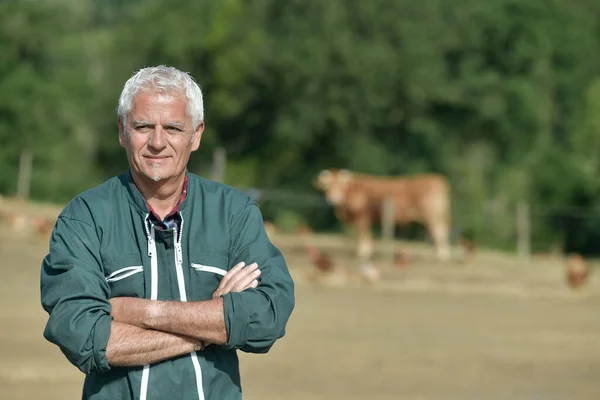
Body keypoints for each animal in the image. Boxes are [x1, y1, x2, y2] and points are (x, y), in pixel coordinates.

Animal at [314, 168, 450, 266]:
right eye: (328, 187)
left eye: (341, 186)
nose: (333, 198)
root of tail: (436, 179)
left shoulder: (362, 217)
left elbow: (363, 235)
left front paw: (363, 253)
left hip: (433, 215)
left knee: (439, 232)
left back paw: (441, 255)